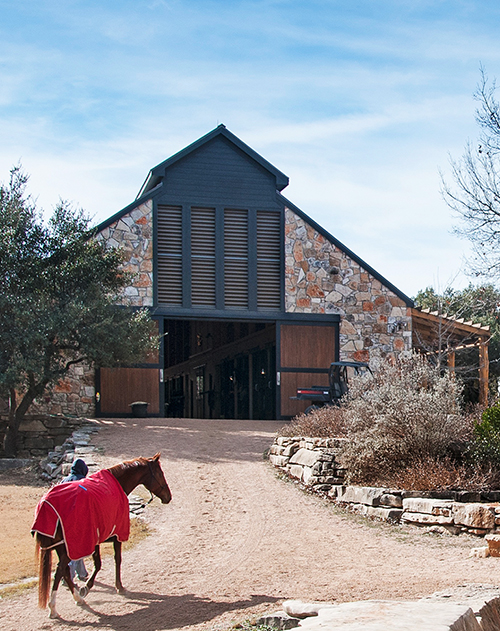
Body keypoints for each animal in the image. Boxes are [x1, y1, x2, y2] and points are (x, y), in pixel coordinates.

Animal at [33, 454, 172, 624]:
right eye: (160, 473)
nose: (168, 496)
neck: (117, 484)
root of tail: (46, 506)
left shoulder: (96, 539)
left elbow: (98, 563)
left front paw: (88, 587)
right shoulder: (114, 535)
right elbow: (114, 560)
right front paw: (116, 586)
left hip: (62, 548)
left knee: (64, 571)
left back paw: (77, 599)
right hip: (68, 548)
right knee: (60, 571)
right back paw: (53, 607)